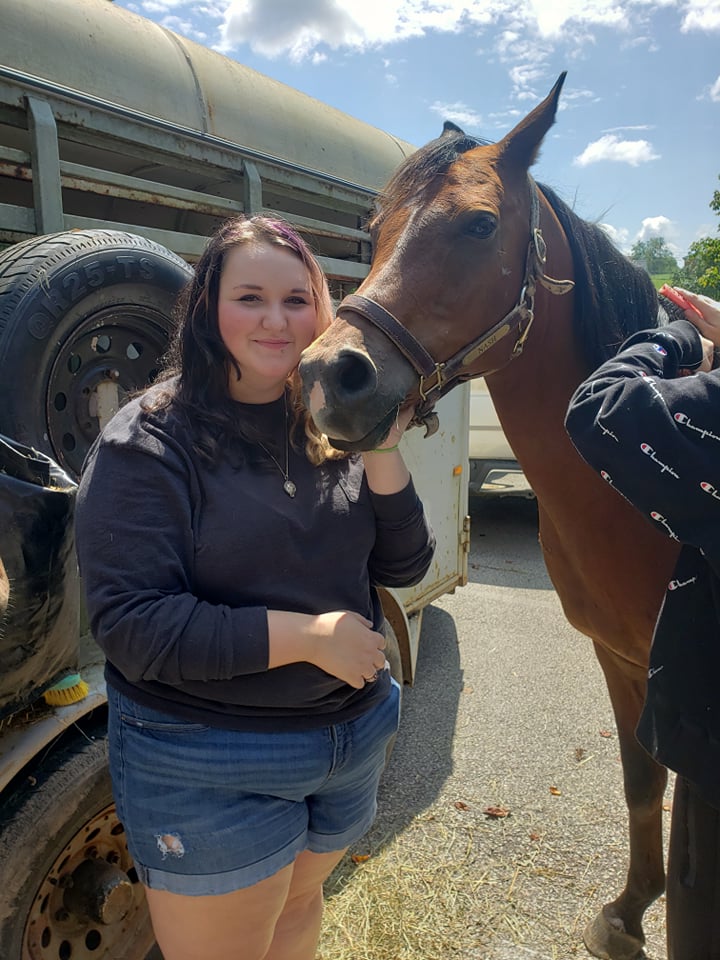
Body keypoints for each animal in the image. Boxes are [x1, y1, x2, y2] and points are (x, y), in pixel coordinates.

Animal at [298, 71, 680, 956]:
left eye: (478, 224)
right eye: (373, 231)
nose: (329, 376)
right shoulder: (622, 660)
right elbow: (641, 782)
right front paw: (628, 911)